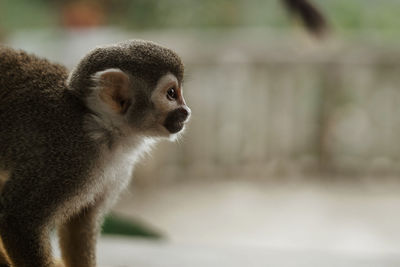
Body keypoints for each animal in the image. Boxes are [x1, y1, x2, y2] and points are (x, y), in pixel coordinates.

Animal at [0, 40, 191, 267]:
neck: (101, 128)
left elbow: (81, 223)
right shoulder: (67, 159)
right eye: (171, 93)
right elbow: (18, 219)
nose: (186, 111)